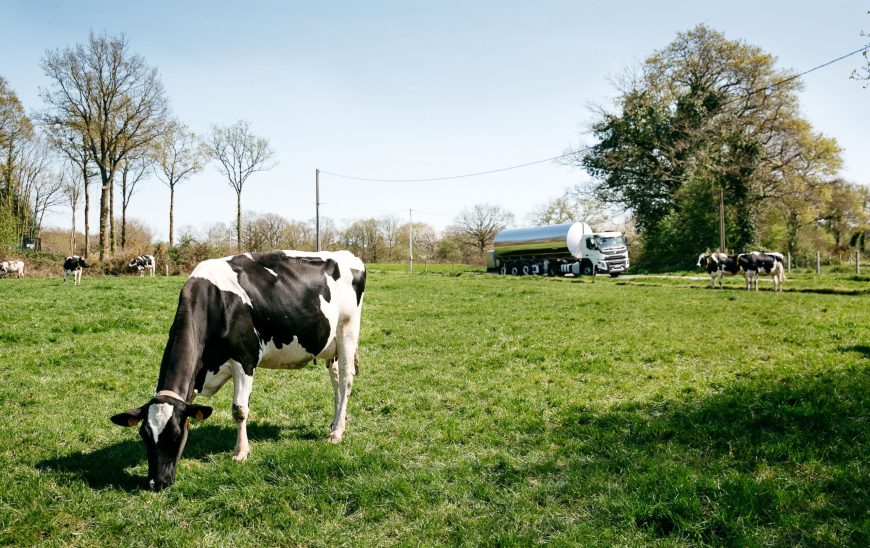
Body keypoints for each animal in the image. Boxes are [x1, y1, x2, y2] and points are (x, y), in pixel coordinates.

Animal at [110, 250, 366, 490]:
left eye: (174, 434)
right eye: (144, 435)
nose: (156, 482)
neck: (215, 302)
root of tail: (348, 255)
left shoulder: (245, 358)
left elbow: (239, 409)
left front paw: (241, 452)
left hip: (347, 331)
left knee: (346, 381)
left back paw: (337, 432)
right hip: (331, 347)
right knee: (337, 385)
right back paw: (334, 423)